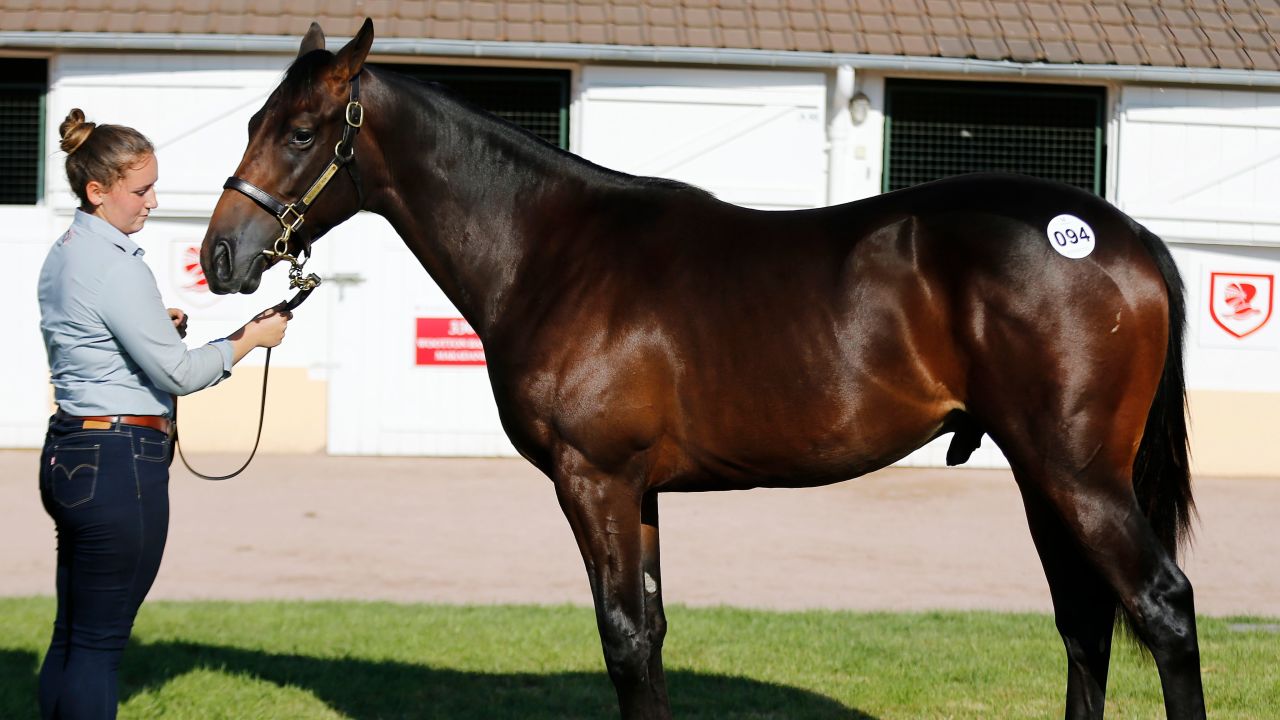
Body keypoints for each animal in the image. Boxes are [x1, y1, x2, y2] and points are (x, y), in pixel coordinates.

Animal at [204, 19, 1203, 712]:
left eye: (301, 132)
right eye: (252, 119)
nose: (220, 256)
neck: (555, 250)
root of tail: (1126, 235)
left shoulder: (594, 479)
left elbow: (621, 639)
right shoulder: (638, 490)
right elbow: (648, 635)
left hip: (1077, 476)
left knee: (1162, 607)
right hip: (1043, 477)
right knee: (1086, 624)